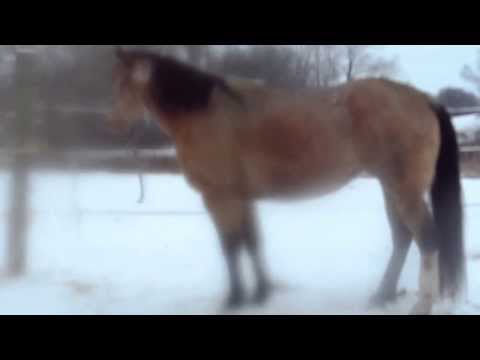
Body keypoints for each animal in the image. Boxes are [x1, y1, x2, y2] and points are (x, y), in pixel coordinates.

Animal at [108, 47, 464, 316]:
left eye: (124, 82)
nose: (116, 124)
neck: (205, 113)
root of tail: (421, 98)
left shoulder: (220, 197)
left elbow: (231, 247)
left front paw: (235, 299)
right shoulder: (242, 197)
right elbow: (252, 242)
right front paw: (260, 294)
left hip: (404, 189)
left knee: (427, 238)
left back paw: (421, 305)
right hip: (390, 186)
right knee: (403, 238)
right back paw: (382, 295)